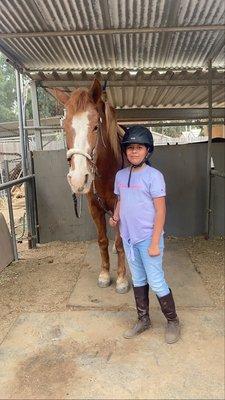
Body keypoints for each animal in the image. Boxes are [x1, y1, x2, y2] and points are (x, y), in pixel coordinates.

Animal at [50, 80, 129, 294]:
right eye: (65, 128)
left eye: (95, 126)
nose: (78, 179)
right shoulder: (95, 208)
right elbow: (102, 241)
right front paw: (104, 275)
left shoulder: (120, 207)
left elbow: (119, 242)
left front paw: (121, 279)